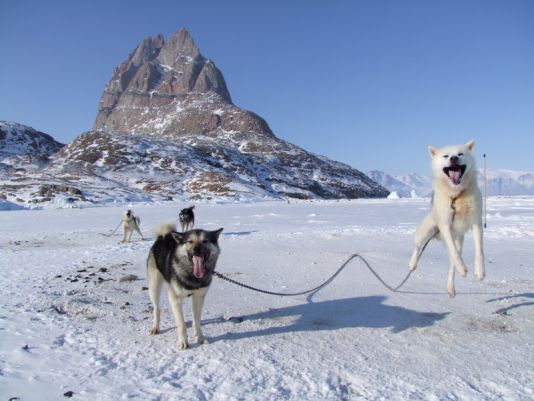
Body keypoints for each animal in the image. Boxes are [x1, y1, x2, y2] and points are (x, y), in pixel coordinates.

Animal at [410, 139, 486, 296]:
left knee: (452, 266)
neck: (456, 195)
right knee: (417, 247)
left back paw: (451, 287)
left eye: (460, 154)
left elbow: (479, 251)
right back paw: (412, 263)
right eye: (446, 156)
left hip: (459, 242)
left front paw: (480, 271)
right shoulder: (445, 225)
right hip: (425, 232)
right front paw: (463, 268)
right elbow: (454, 252)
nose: (454, 158)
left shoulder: (476, 223)